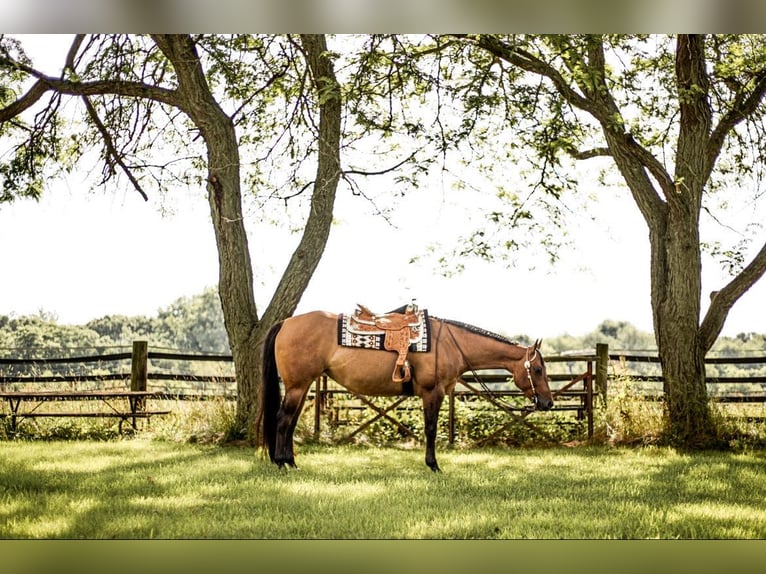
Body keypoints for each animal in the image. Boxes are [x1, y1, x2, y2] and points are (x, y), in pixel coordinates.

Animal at [257, 309, 554, 472]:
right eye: (539, 369)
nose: (548, 403)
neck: (450, 343)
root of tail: (286, 323)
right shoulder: (432, 392)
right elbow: (431, 429)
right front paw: (434, 465)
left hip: (303, 385)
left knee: (290, 422)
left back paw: (291, 462)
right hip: (297, 386)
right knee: (282, 420)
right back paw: (281, 462)